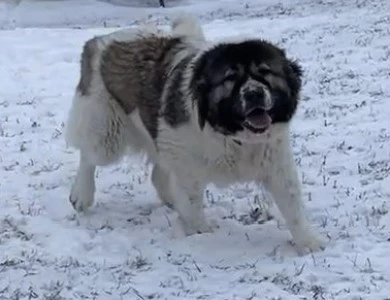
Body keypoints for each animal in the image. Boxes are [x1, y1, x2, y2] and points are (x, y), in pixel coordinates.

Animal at [64, 14, 326, 253]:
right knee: (89, 156)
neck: (232, 135)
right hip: (106, 134)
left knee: (157, 174)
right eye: (230, 77)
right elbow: (191, 203)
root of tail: (99, 41)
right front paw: (201, 233)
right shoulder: (186, 163)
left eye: (265, 72)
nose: (254, 93)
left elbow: (292, 203)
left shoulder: (275, 161)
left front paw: (308, 242)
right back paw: (81, 194)